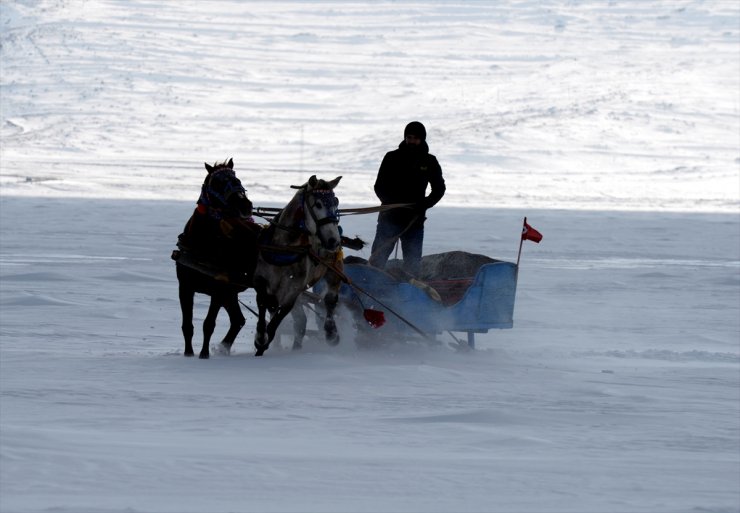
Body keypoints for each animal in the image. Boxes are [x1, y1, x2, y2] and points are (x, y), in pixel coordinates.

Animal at [173, 158, 258, 358]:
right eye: (217, 183)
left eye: (237, 179)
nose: (246, 206)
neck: (202, 244)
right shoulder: (185, 287)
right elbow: (187, 325)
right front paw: (188, 354)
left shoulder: (219, 290)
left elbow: (208, 324)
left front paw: (204, 354)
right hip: (231, 294)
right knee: (238, 320)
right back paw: (223, 348)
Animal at [253, 174, 346, 354]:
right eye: (318, 204)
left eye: (336, 202)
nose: (333, 241)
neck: (283, 249)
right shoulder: (262, 282)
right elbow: (263, 305)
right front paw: (260, 338)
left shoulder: (292, 292)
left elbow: (275, 324)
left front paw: (263, 344)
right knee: (300, 321)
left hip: (334, 270)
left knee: (330, 300)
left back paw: (331, 332)